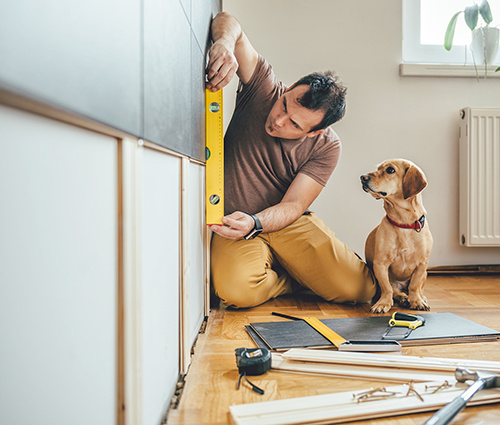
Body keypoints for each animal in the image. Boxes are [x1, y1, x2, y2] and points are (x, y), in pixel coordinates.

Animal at [360, 157, 434, 314]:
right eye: (378, 168)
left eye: (390, 170)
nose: (362, 177)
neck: (403, 223)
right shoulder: (380, 264)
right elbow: (387, 288)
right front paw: (383, 303)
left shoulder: (422, 265)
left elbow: (414, 286)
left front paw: (416, 301)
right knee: (395, 291)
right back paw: (403, 298)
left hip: (425, 273)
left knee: (417, 289)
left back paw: (419, 298)